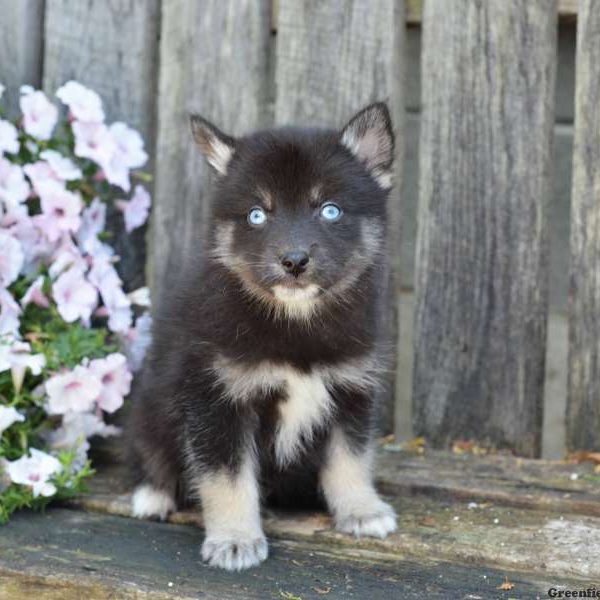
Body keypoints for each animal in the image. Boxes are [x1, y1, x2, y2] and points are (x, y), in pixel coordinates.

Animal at [129, 103, 396, 572]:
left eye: (329, 210)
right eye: (257, 214)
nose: (294, 260)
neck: (295, 326)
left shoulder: (352, 390)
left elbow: (350, 459)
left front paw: (362, 510)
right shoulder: (216, 400)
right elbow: (227, 477)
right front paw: (235, 539)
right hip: (150, 402)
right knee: (152, 451)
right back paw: (153, 494)